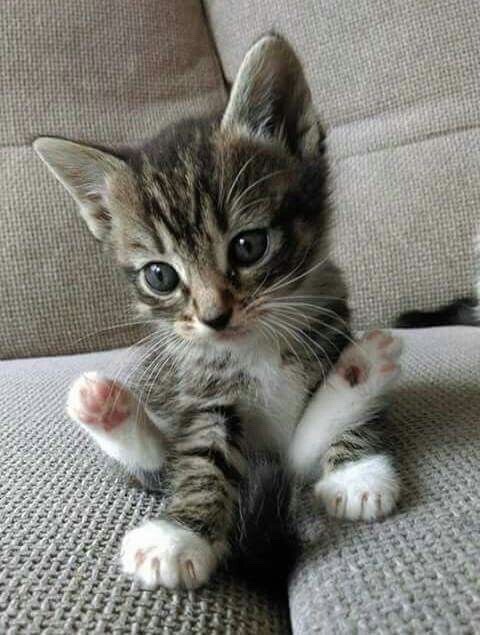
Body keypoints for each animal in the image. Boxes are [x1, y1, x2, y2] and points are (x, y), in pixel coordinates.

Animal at [34, 34, 402, 591]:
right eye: (160, 276)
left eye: (249, 246)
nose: (213, 318)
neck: (258, 344)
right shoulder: (203, 391)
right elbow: (199, 453)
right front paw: (179, 536)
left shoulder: (330, 323)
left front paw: (356, 470)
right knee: (161, 460)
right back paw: (105, 407)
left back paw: (360, 371)